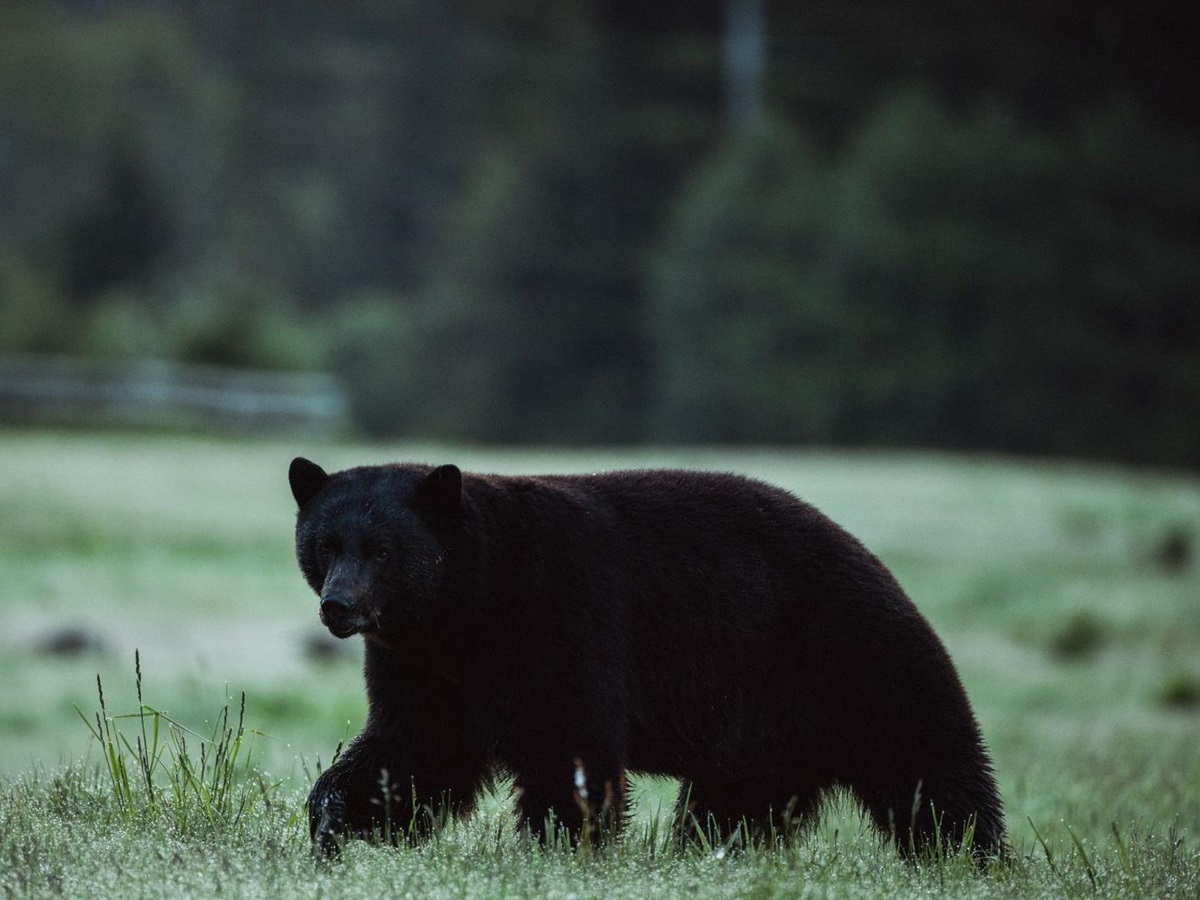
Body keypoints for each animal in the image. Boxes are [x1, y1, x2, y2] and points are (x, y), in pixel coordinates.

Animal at [289, 457, 1005, 860]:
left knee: (931, 770)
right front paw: (332, 823)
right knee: (736, 807)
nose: (339, 606)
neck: (471, 607)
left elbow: (565, 744)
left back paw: (969, 860)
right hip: (761, 732)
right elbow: (415, 751)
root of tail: (879, 567)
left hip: (854, 659)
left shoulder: (559, 616)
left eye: (383, 549)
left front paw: (559, 850)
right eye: (326, 543)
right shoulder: (424, 664)